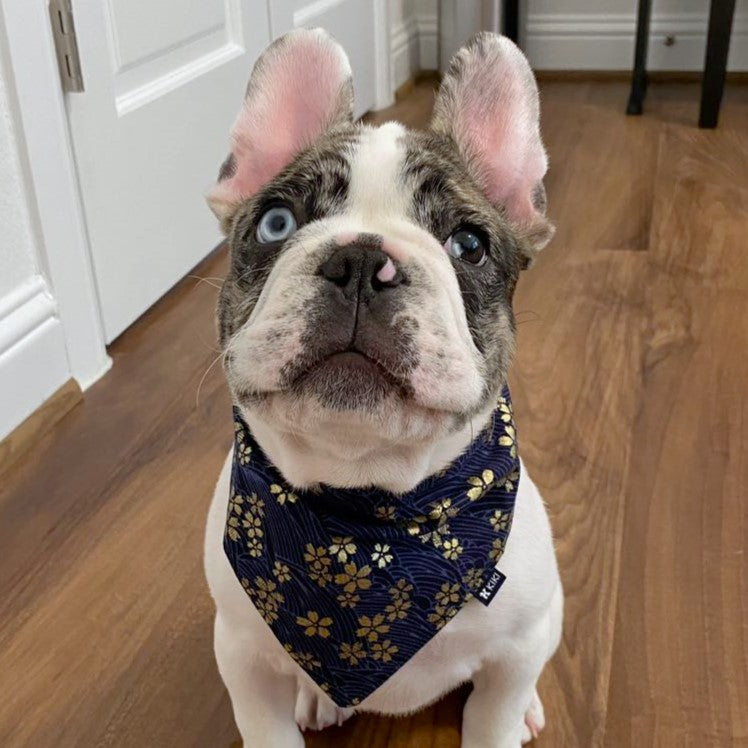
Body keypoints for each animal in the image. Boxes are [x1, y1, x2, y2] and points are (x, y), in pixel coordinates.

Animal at [205, 26, 560, 744]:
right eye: (276, 224)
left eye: (469, 244)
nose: (364, 260)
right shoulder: (243, 658)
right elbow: (267, 726)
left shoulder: (515, 654)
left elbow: (494, 713)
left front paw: (511, 719)